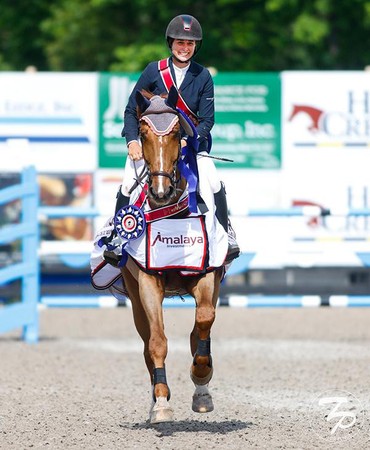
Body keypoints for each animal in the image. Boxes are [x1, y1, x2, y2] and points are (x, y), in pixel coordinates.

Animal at [117, 89, 225, 426]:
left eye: (178, 133)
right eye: (142, 133)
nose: (160, 191)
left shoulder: (207, 276)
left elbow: (203, 322)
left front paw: (201, 375)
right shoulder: (147, 284)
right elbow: (157, 342)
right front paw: (162, 403)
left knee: (199, 331)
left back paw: (202, 391)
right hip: (134, 297)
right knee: (146, 343)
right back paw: (155, 399)